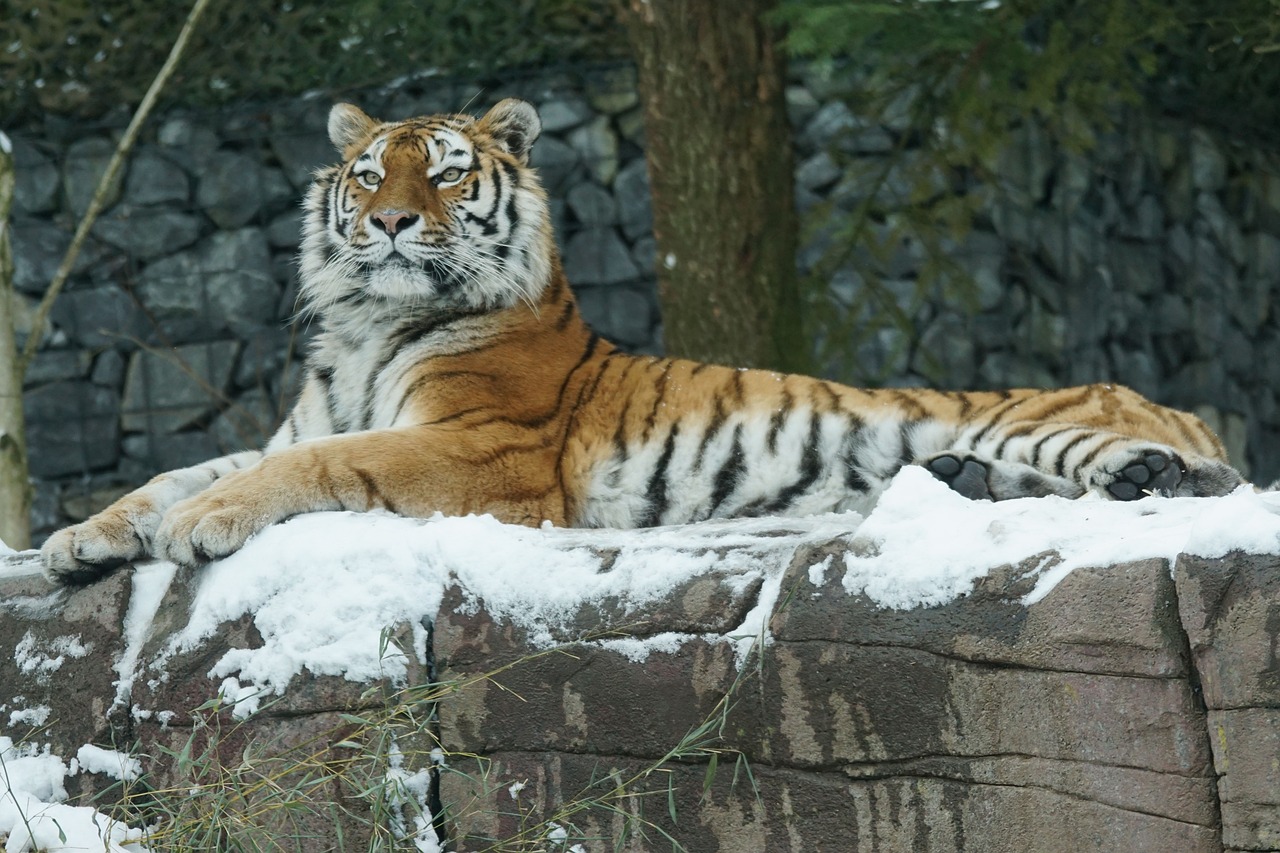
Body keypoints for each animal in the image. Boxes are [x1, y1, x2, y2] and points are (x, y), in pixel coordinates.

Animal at [40, 96, 1239, 581]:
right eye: (370, 175)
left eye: (447, 173)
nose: (387, 225)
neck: (367, 325)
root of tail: (1173, 401)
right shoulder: (298, 419)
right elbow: (179, 467)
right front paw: (81, 539)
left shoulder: (485, 450)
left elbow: (323, 463)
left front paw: (198, 526)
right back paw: (955, 482)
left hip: (1060, 425)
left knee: (1199, 481)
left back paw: (1147, 479)